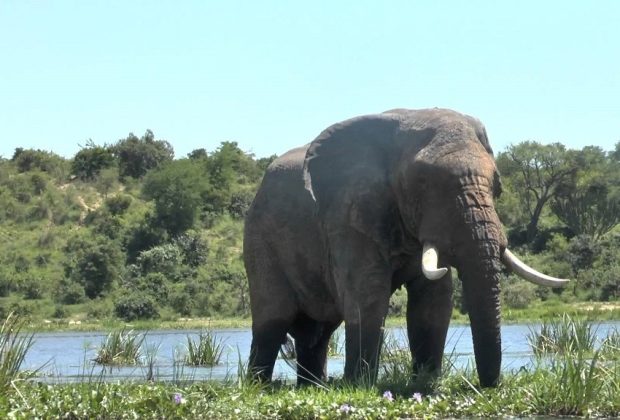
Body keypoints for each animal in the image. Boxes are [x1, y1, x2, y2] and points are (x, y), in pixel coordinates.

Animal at [243, 107, 568, 388]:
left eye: (497, 186)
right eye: (422, 183)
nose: (487, 386)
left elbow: (433, 302)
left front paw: (427, 382)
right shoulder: (346, 217)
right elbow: (368, 295)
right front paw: (359, 385)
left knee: (319, 332)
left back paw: (314, 386)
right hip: (259, 237)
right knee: (273, 319)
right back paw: (260, 387)